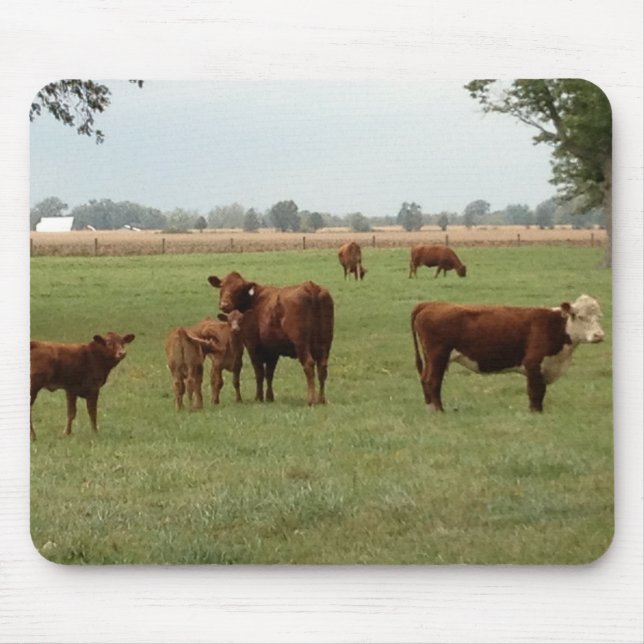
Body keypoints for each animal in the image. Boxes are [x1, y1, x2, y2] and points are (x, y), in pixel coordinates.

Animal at [207, 272, 334, 405]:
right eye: (222, 286)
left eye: (238, 289)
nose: (224, 304)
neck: (253, 302)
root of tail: (311, 286)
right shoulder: (273, 349)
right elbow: (269, 373)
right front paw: (269, 397)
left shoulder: (252, 346)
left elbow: (259, 373)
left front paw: (258, 397)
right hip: (326, 342)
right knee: (322, 367)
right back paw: (321, 399)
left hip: (301, 344)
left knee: (309, 365)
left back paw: (310, 399)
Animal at [411, 294, 604, 412]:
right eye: (580, 316)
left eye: (599, 317)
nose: (599, 335)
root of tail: (431, 304)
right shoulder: (533, 364)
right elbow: (535, 393)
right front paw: (535, 414)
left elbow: (540, 393)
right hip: (438, 356)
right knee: (433, 381)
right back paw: (440, 411)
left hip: (431, 358)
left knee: (425, 379)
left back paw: (430, 409)